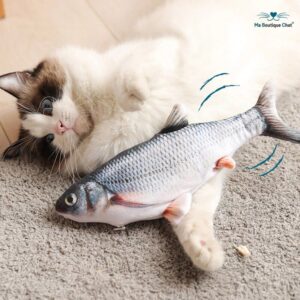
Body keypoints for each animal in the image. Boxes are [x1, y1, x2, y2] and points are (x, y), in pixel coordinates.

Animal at [0, 0, 300, 272]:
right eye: (48, 142)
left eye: (46, 105)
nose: (61, 128)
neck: (101, 120)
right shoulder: (194, 171)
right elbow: (192, 215)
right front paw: (204, 253)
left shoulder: (162, 49)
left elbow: (126, 79)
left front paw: (137, 99)